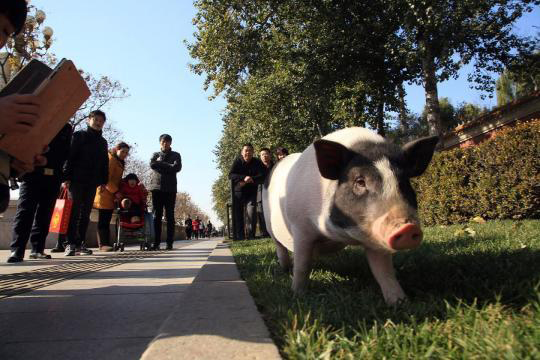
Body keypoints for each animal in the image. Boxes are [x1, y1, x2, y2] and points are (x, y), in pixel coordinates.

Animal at [262, 128, 438, 306]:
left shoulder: (375, 238)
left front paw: (400, 302)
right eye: (360, 181)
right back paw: (285, 269)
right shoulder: (300, 227)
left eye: (404, 182)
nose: (408, 227)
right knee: (281, 249)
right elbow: (302, 265)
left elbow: (383, 271)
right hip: (270, 227)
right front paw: (297, 295)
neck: (342, 235)